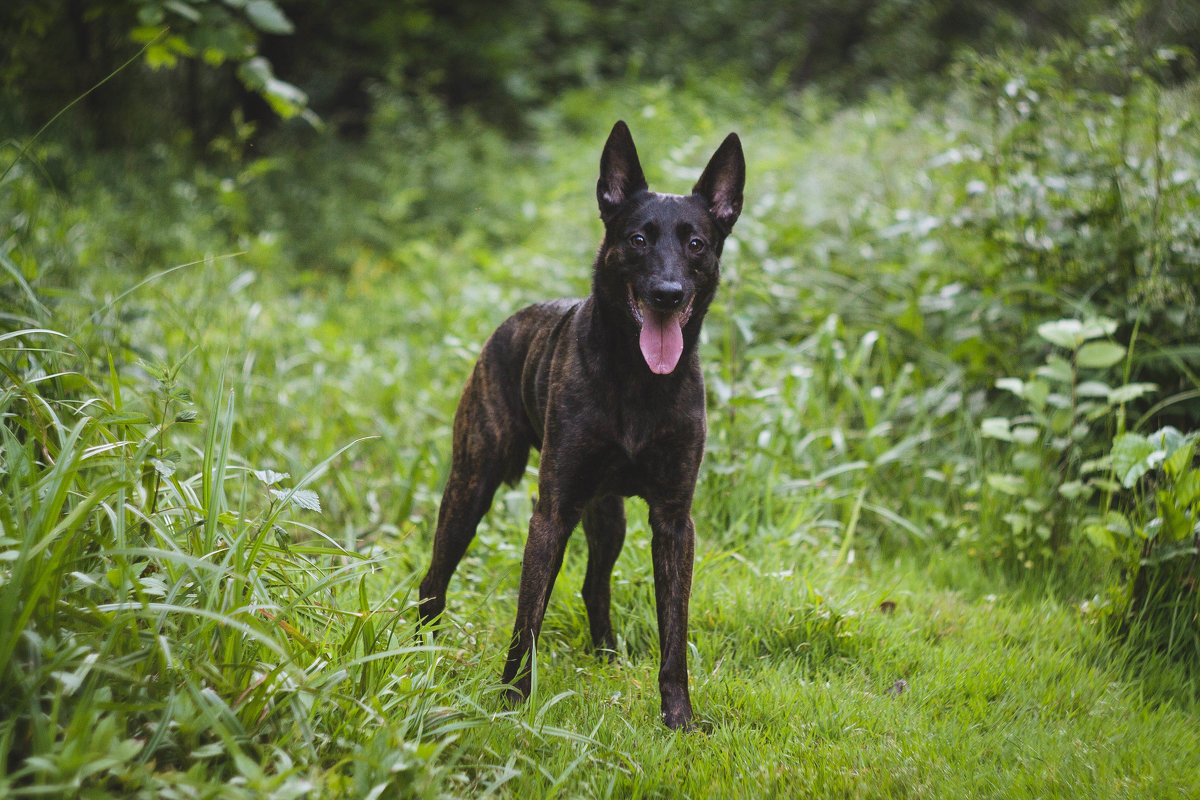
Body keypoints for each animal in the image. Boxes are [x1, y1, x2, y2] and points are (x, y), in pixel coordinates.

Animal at [417, 120, 744, 734]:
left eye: (696, 244)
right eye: (638, 239)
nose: (668, 294)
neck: (638, 380)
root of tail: (511, 322)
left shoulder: (673, 521)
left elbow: (674, 631)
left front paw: (679, 718)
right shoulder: (553, 512)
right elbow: (528, 619)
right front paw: (512, 703)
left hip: (607, 515)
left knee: (596, 584)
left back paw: (607, 657)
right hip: (471, 486)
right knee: (434, 578)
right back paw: (417, 652)